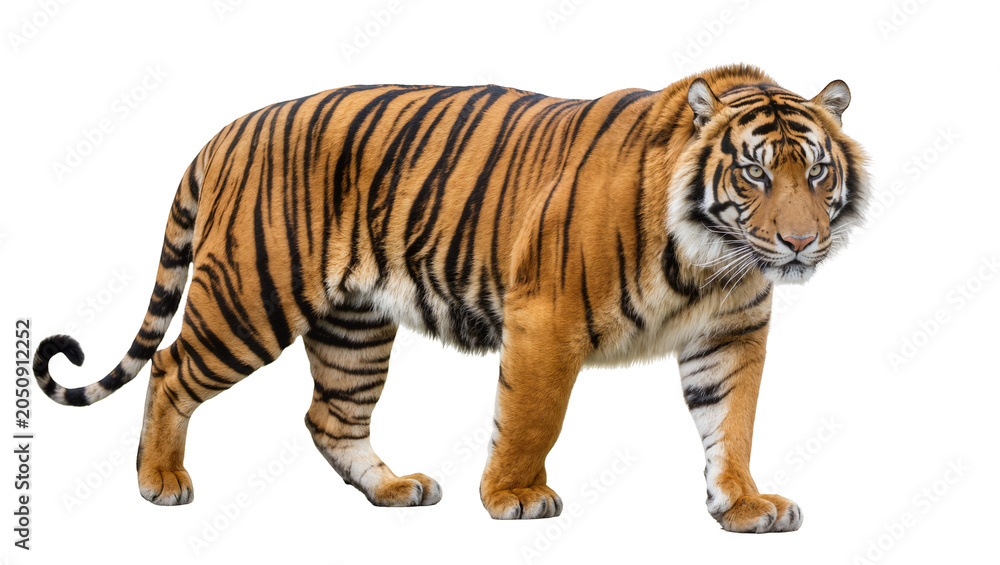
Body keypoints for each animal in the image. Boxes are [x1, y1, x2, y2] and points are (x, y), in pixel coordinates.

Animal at [33, 63, 868, 532]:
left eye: (816, 172)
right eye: (755, 173)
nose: (800, 242)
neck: (713, 259)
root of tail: (229, 129)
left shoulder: (730, 335)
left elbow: (732, 425)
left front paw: (744, 505)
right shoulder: (547, 318)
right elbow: (532, 417)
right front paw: (515, 497)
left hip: (354, 327)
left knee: (331, 415)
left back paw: (394, 488)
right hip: (250, 294)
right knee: (171, 367)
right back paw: (159, 482)